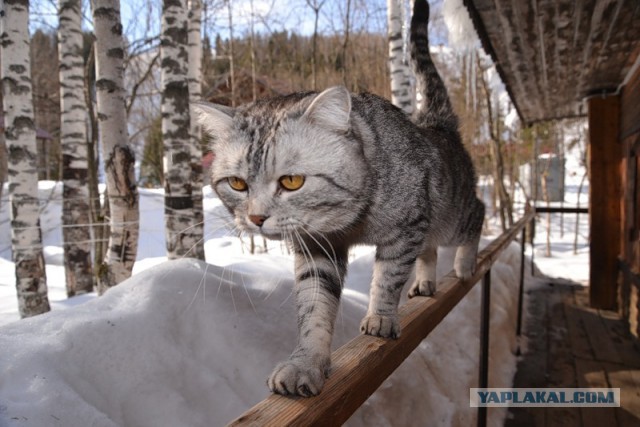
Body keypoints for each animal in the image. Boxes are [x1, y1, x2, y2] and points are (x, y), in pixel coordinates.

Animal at [192, 0, 482, 398]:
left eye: (292, 181)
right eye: (236, 184)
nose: (255, 218)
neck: (346, 221)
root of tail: (437, 125)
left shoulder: (406, 229)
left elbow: (387, 278)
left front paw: (380, 316)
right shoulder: (316, 250)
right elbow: (314, 308)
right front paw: (306, 364)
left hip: (452, 217)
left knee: (477, 215)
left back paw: (465, 265)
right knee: (430, 250)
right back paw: (425, 282)